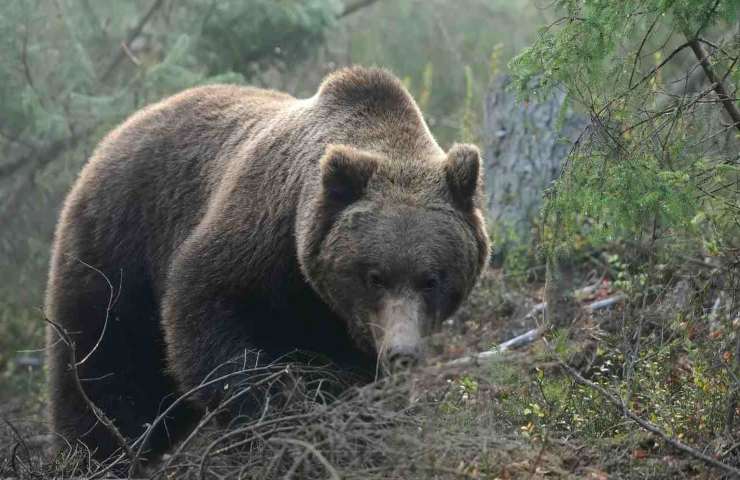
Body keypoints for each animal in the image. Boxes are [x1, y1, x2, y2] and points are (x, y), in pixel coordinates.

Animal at [43, 67, 488, 462]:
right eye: (375, 276)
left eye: (431, 279)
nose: (402, 352)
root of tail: (112, 137)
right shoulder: (257, 240)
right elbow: (206, 316)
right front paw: (277, 411)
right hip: (119, 252)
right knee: (109, 371)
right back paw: (94, 453)